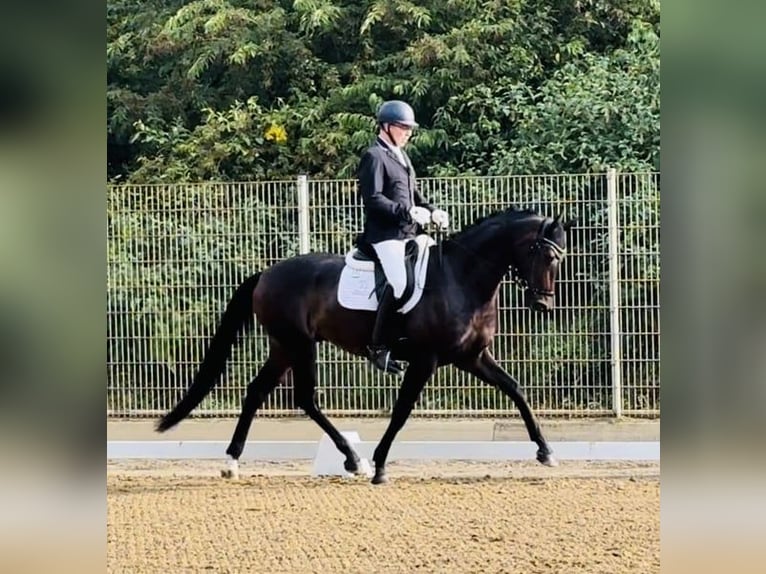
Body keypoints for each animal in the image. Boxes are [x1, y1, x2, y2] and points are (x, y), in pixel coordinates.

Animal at [158, 207, 576, 486]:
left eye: (560, 257)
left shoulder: (471, 357)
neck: (461, 278)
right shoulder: (426, 360)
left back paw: (236, 462)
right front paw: (380, 466)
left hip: (284, 346)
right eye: (545, 254)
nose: (544, 304)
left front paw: (546, 452)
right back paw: (353, 460)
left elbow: (516, 390)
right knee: (303, 397)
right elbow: (402, 411)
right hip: (297, 344)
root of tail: (266, 273)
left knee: (261, 391)